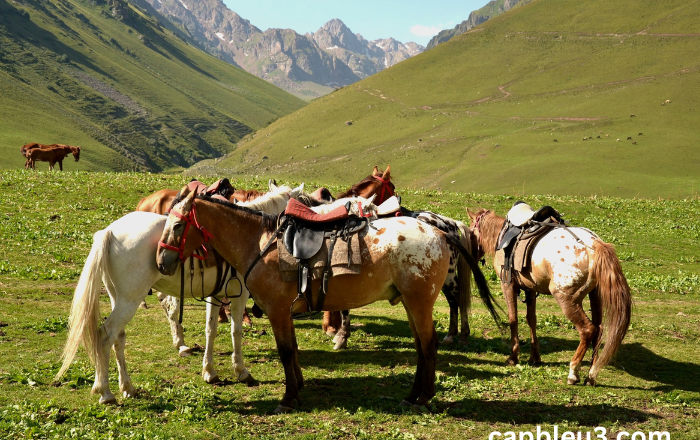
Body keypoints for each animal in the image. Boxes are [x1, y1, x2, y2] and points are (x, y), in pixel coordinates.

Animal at [468, 208, 632, 384]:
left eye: (470, 232)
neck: (502, 235)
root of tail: (595, 244)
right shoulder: (530, 289)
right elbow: (531, 319)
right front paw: (535, 357)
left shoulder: (508, 285)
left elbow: (513, 319)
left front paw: (513, 357)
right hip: (595, 296)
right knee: (599, 331)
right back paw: (591, 375)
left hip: (567, 299)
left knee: (588, 330)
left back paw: (573, 372)